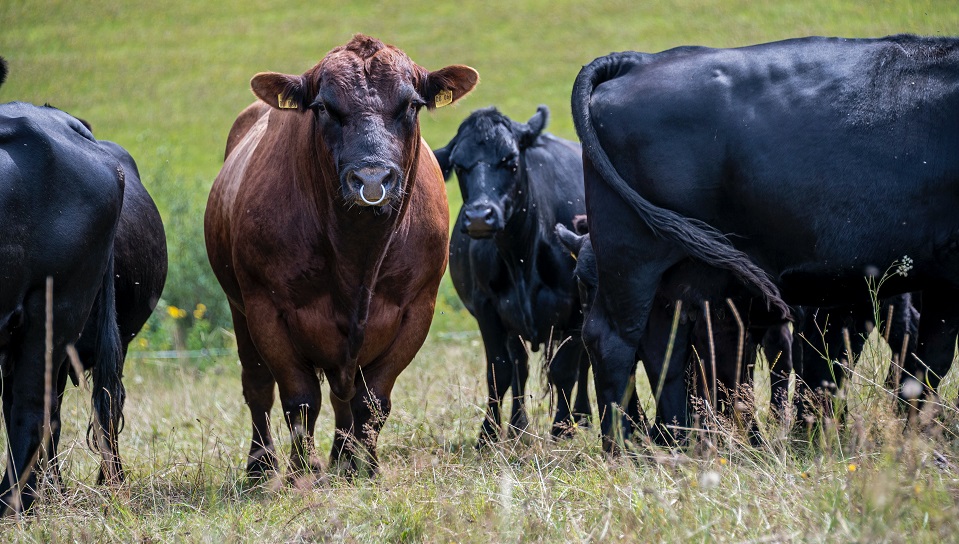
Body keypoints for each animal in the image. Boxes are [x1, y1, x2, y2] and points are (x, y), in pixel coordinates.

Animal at [205, 35, 476, 476]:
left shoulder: (417, 309)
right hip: (239, 308)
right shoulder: (266, 309)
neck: (358, 253)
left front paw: (367, 468)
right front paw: (302, 471)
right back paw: (261, 466)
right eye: (324, 108)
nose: (372, 178)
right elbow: (299, 400)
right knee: (258, 387)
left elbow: (372, 401)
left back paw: (343, 458)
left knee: (342, 395)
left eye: (411, 105)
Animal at [436, 106, 592, 442]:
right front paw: (489, 434)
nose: (479, 216)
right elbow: (500, 370)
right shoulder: (487, 308)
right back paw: (519, 427)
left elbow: (565, 370)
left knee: (585, 363)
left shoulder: (577, 307)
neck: (520, 254)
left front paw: (562, 429)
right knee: (520, 366)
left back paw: (583, 417)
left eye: (511, 161)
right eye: (459, 166)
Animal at [572, 35, 956, 450]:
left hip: (679, 274)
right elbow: (928, 359)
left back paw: (677, 442)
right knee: (613, 340)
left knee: (666, 347)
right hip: (632, 257)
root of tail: (638, 61)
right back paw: (627, 448)